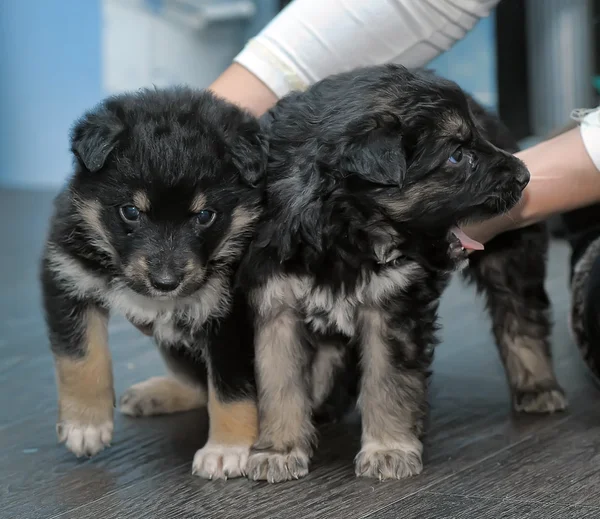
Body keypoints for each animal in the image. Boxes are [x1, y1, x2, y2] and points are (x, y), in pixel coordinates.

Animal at [41, 87, 266, 482]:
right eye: (131, 211)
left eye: (204, 216)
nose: (165, 283)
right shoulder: (67, 275)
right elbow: (80, 357)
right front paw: (85, 425)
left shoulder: (231, 318)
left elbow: (230, 387)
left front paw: (227, 450)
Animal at [240, 64, 568, 484]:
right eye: (457, 155)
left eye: (473, 141)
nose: (525, 175)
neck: (343, 233)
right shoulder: (276, 300)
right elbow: (278, 377)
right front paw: (279, 449)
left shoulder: (392, 307)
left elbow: (388, 379)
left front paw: (388, 449)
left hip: (511, 256)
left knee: (521, 315)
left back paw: (538, 386)